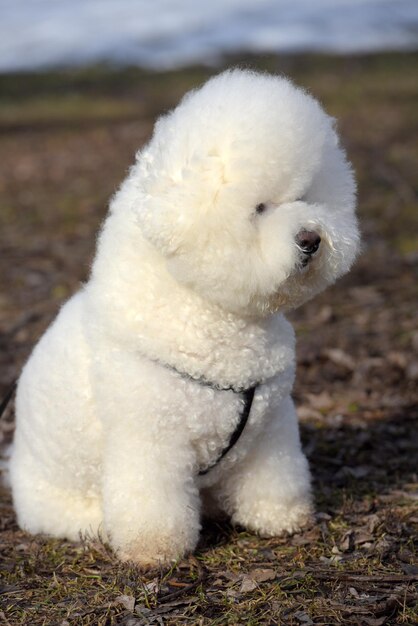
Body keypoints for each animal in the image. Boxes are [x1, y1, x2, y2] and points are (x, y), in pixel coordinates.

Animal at [9, 69, 360, 564]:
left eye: (306, 196)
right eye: (259, 208)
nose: (312, 239)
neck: (208, 313)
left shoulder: (271, 428)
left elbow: (273, 479)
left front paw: (281, 517)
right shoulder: (151, 440)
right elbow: (151, 503)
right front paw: (154, 550)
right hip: (59, 501)